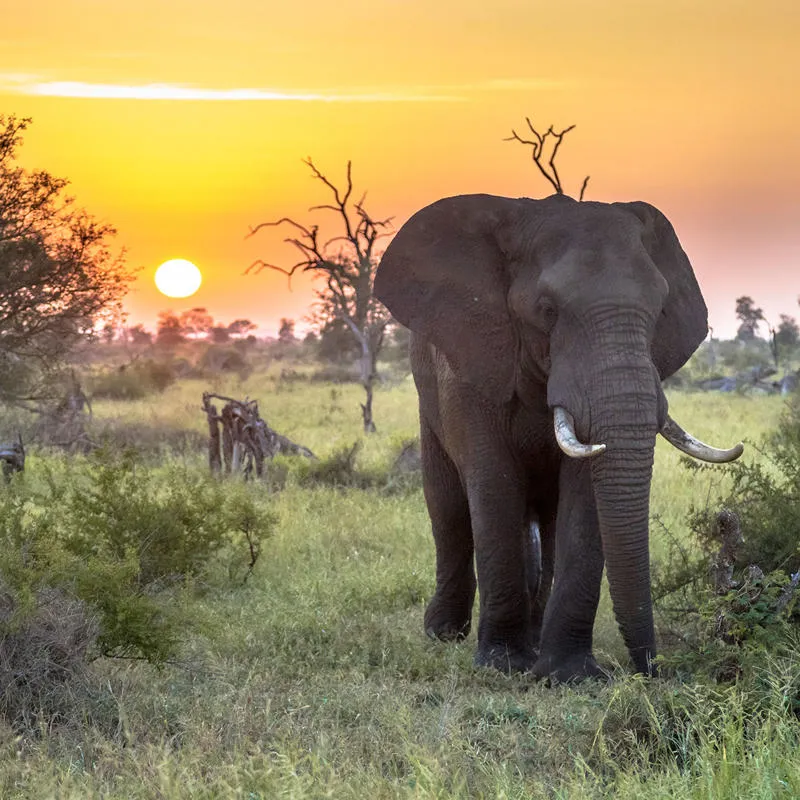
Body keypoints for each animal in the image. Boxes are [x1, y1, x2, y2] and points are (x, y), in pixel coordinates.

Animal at [373, 193, 743, 681]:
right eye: (547, 310)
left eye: (660, 308)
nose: (654, 670)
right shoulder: (472, 362)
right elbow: (493, 483)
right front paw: (503, 665)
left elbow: (583, 495)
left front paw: (569, 675)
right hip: (427, 402)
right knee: (448, 509)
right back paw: (445, 634)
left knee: (545, 525)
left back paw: (533, 640)